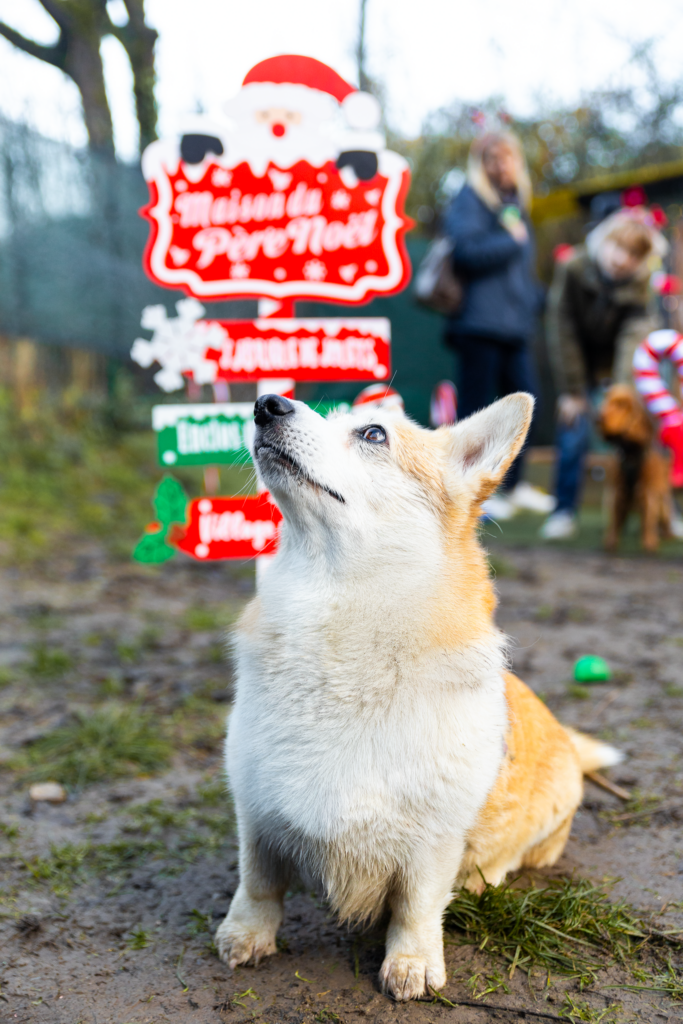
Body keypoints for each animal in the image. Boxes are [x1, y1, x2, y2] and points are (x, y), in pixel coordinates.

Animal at [216, 391, 622, 999]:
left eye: (373, 434)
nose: (266, 403)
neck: (336, 616)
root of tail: (569, 743)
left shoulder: (433, 843)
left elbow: (417, 906)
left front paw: (411, 965)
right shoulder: (256, 812)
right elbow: (257, 883)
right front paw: (245, 936)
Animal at [598, 385, 671, 552]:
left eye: (621, 405)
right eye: (606, 401)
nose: (598, 418)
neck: (630, 452)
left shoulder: (648, 491)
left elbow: (648, 518)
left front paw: (649, 542)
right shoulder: (617, 490)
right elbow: (614, 520)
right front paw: (611, 542)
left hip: (663, 502)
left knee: (663, 520)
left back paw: (667, 535)